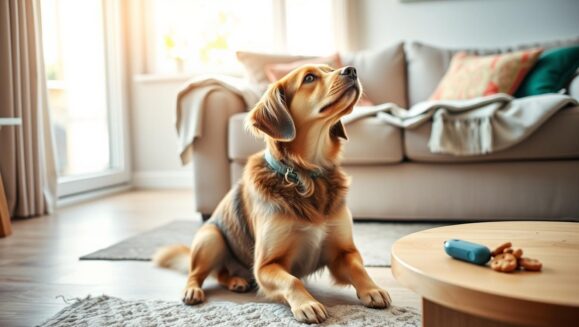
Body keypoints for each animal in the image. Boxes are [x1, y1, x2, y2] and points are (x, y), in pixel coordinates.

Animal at [153, 64, 394, 326]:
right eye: (309, 78)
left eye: (330, 69)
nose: (351, 70)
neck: (307, 175)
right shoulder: (265, 266)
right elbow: (292, 280)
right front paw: (307, 304)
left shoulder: (343, 252)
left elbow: (359, 268)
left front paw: (372, 289)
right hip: (211, 237)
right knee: (197, 272)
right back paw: (194, 289)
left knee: (223, 273)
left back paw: (236, 281)